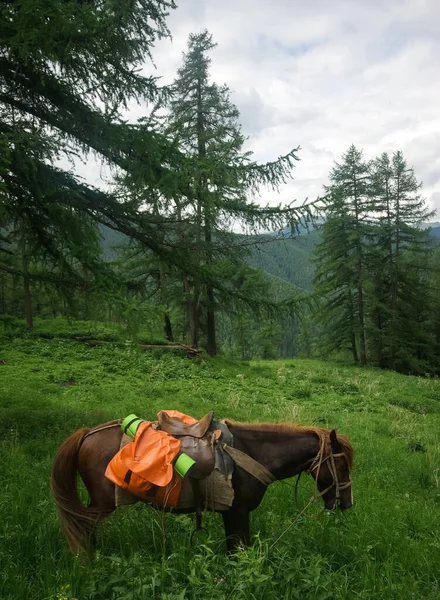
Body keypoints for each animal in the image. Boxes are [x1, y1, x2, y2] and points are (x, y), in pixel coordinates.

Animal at [51, 418, 354, 552]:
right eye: (341, 466)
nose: (347, 503)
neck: (255, 452)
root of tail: (88, 433)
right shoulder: (236, 512)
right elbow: (236, 550)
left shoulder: (235, 514)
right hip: (101, 504)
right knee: (82, 528)